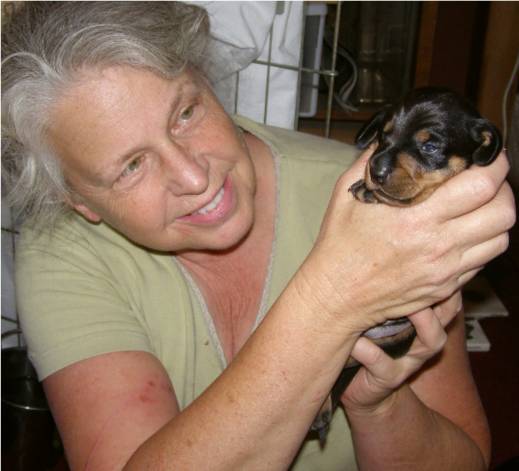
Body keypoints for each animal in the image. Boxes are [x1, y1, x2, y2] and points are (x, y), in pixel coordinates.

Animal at [312, 86, 504, 444]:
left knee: (342, 371)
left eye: (430, 145)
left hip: (393, 341)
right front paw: (366, 188)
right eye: (381, 137)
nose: (374, 171)